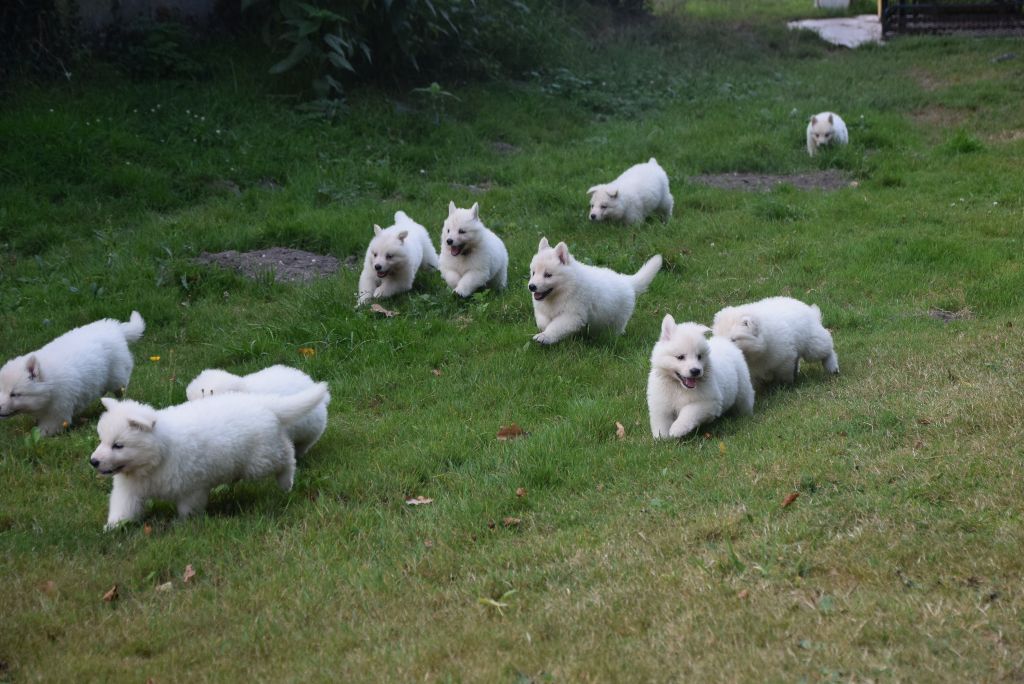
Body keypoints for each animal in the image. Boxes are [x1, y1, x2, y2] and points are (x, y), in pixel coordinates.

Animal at [0, 313, 146, 436]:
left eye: (14, 394)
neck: (49, 383)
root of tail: (114, 327)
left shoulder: (59, 409)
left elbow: (49, 426)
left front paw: (39, 434)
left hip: (117, 375)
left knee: (120, 389)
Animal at [93, 382, 327, 532]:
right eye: (101, 440)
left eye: (118, 445)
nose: (93, 461)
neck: (155, 459)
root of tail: (262, 402)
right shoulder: (129, 489)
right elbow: (123, 508)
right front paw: (111, 528)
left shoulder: (191, 488)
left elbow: (188, 510)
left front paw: (183, 526)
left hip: (261, 459)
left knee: (287, 454)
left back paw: (286, 482)